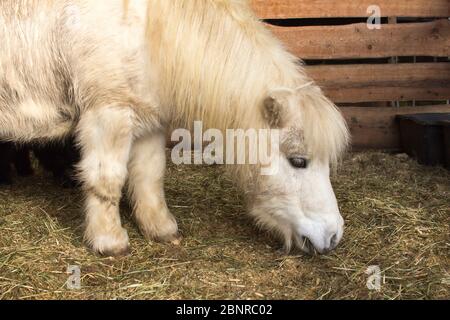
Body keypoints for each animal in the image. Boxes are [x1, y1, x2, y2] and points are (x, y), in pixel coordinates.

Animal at [0, 0, 350, 255]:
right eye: (298, 161)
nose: (333, 235)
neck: (148, 29)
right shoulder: (108, 114)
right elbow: (107, 179)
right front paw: (109, 241)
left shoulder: (149, 122)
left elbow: (149, 176)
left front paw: (160, 228)